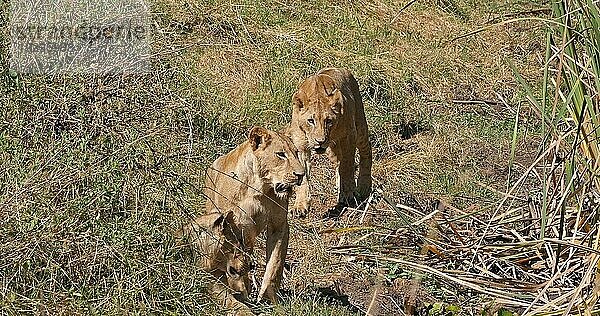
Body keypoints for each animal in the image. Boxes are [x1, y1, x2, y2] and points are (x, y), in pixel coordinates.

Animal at [204, 126, 304, 304]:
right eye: (281, 154)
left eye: (296, 153)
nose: (301, 175)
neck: (259, 188)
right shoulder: (233, 228)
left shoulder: (279, 225)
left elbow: (275, 263)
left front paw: (268, 297)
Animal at [288, 66, 372, 215]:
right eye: (311, 121)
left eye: (328, 121)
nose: (320, 141)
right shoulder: (301, 147)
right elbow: (302, 177)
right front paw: (300, 206)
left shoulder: (348, 137)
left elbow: (347, 166)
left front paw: (349, 193)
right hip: (332, 150)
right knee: (338, 162)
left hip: (360, 127)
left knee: (366, 151)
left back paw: (363, 186)